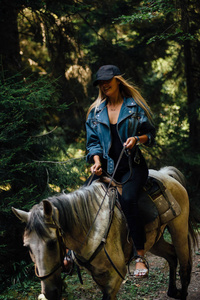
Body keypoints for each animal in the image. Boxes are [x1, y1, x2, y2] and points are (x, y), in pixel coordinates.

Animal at [12, 166, 198, 300]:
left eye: (51, 243)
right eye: (27, 247)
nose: (49, 293)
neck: (91, 229)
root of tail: (165, 174)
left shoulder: (115, 277)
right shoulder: (100, 277)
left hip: (179, 229)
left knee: (185, 264)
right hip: (154, 240)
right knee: (171, 255)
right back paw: (172, 291)